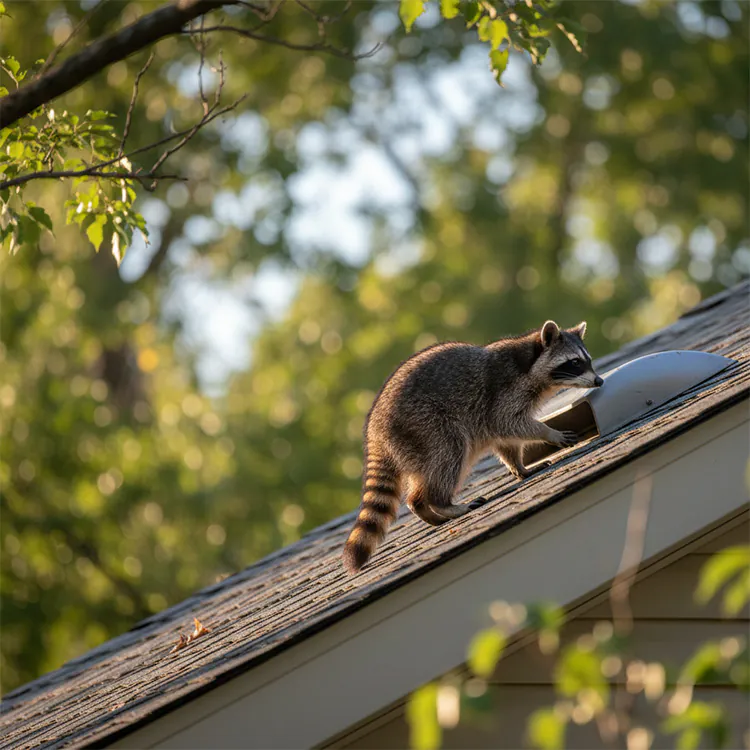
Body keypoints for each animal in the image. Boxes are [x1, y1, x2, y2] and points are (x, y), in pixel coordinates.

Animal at [342, 320, 603, 574]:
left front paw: (519, 467)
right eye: (575, 362)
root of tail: (374, 433)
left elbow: (505, 441)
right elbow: (508, 423)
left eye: (588, 359)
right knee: (450, 453)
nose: (598, 381)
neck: (529, 363)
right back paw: (442, 503)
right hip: (424, 424)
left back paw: (422, 505)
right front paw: (548, 432)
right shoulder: (502, 392)